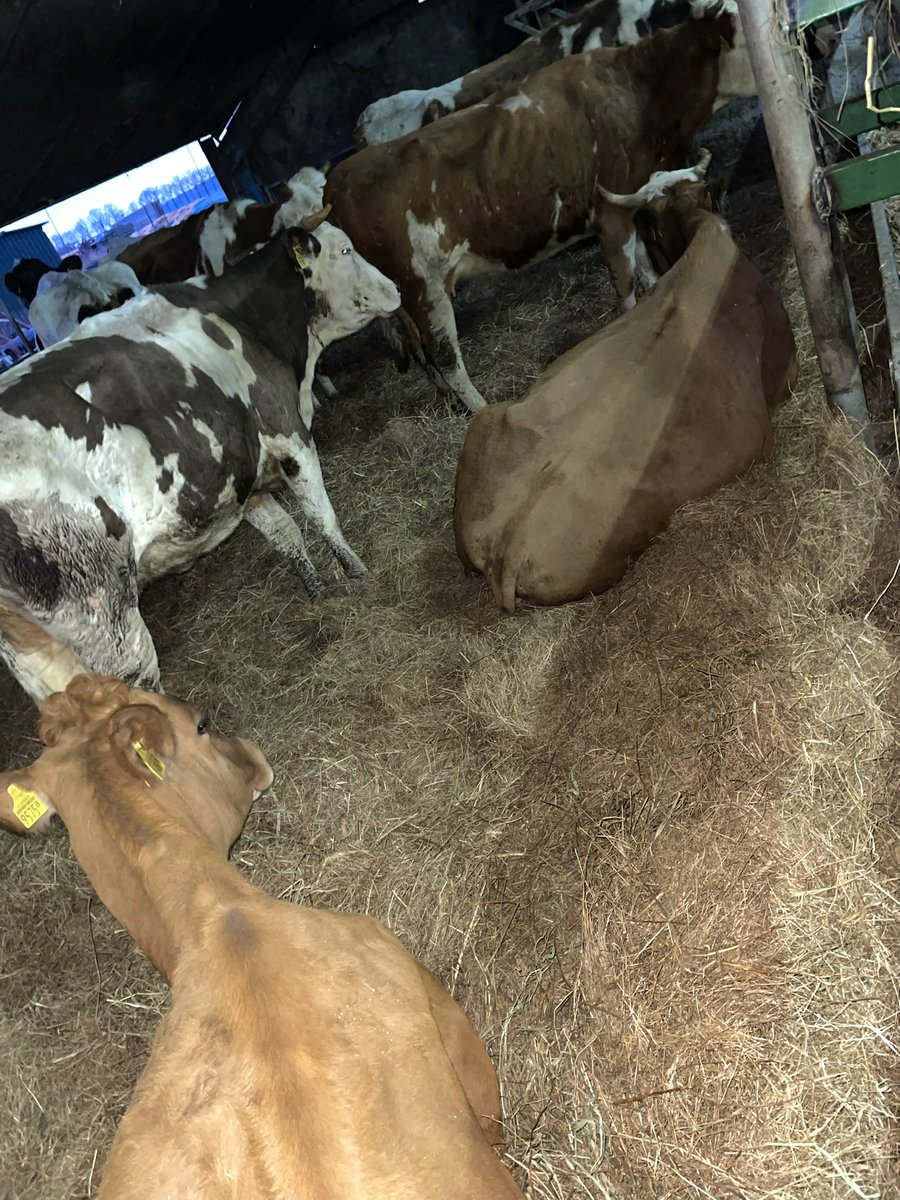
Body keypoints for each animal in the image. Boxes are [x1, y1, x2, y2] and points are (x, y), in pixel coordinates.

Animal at [0, 219, 401, 705]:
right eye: (345, 250)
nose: (398, 288)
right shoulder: (288, 433)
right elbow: (322, 517)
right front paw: (359, 575)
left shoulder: (237, 477)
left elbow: (286, 535)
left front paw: (317, 589)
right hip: (104, 618)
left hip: (31, 643)